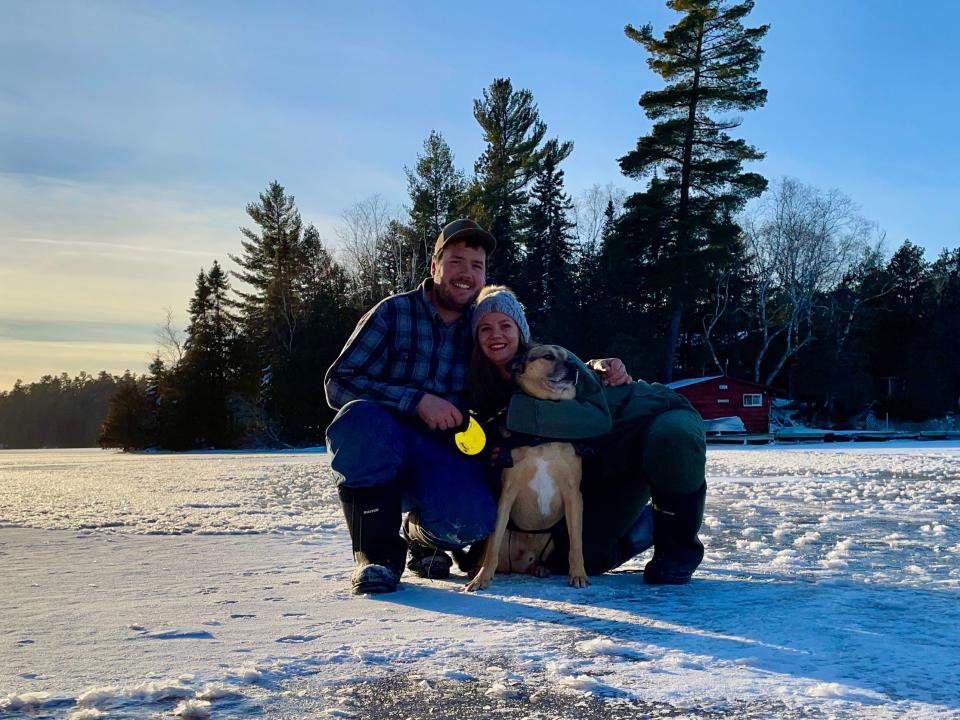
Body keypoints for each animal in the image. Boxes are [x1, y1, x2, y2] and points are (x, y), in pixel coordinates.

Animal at [464, 344, 588, 592]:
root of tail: (517, 566)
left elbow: (577, 543)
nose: (574, 366)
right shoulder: (507, 493)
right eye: (548, 356)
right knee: (489, 549)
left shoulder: (573, 494)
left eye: (568, 357)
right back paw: (477, 569)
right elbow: (493, 547)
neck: (542, 435)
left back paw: (540, 568)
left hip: (550, 540)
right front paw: (481, 579)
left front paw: (579, 574)